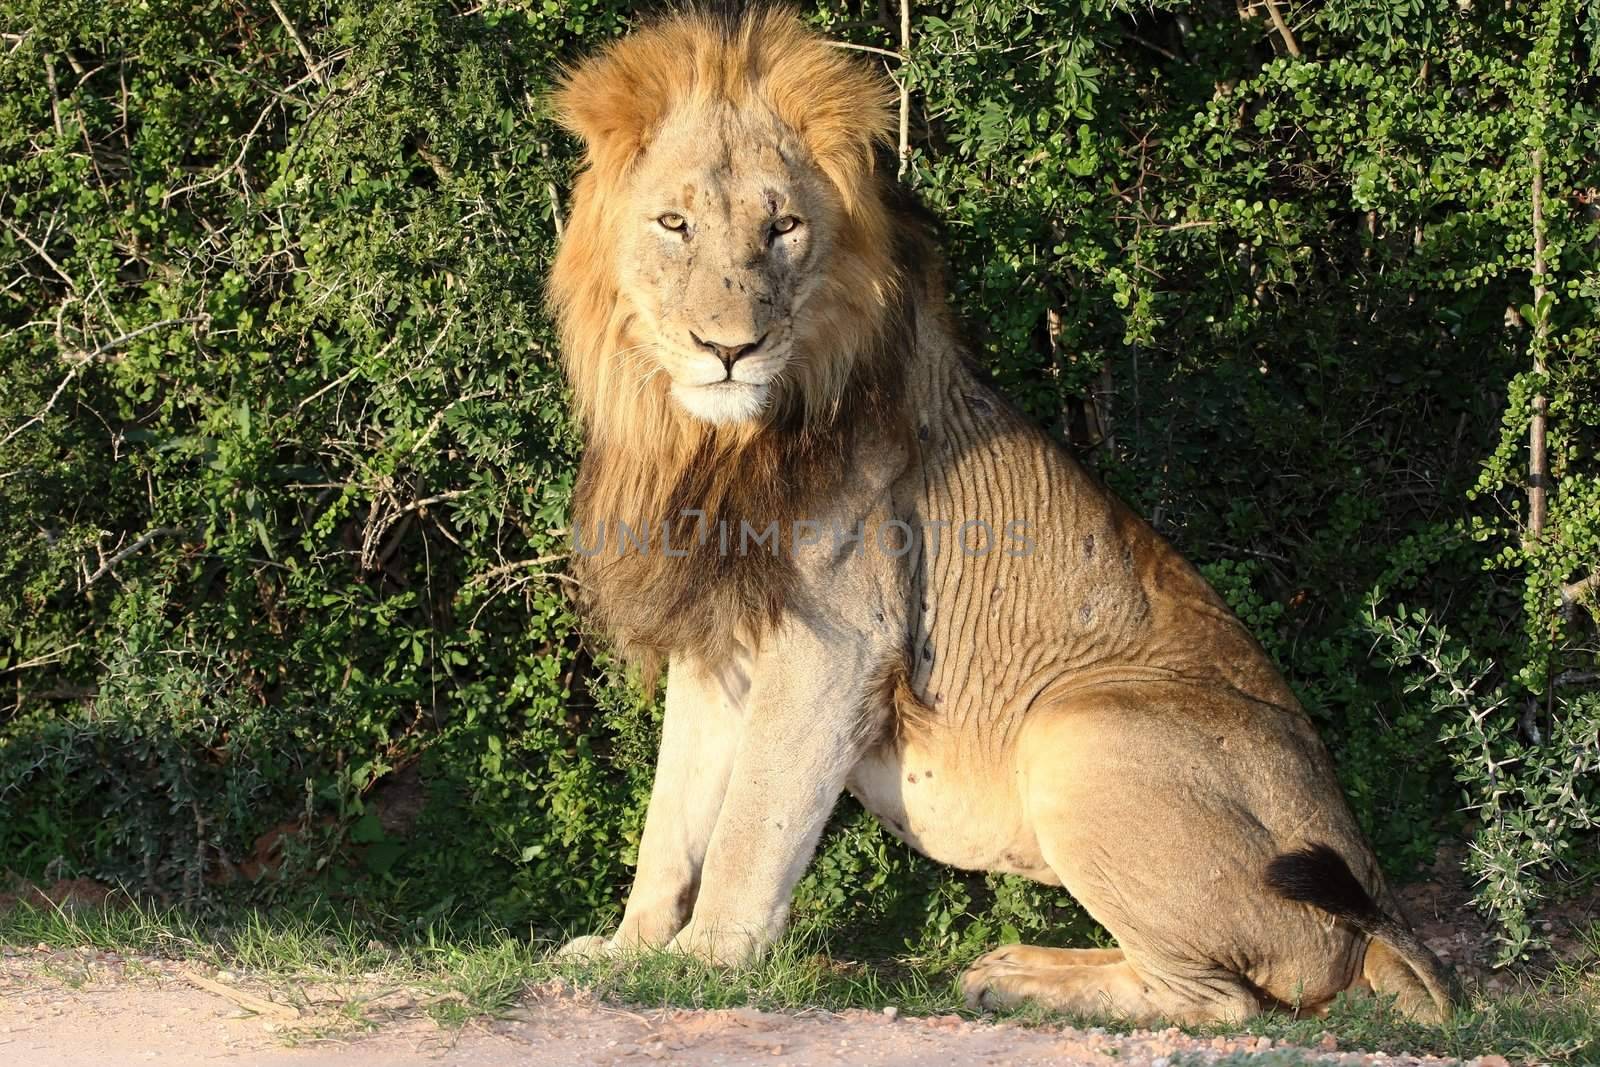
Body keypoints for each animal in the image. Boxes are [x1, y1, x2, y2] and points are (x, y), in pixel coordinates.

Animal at [544, 8, 1459, 1023]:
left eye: (783, 227)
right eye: (675, 224)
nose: (730, 348)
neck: (710, 445)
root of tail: (1377, 921)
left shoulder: (840, 637)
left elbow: (752, 822)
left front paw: (709, 957)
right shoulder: (720, 641)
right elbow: (671, 820)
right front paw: (628, 948)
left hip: (1078, 732)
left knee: (1222, 999)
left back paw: (1015, 976)